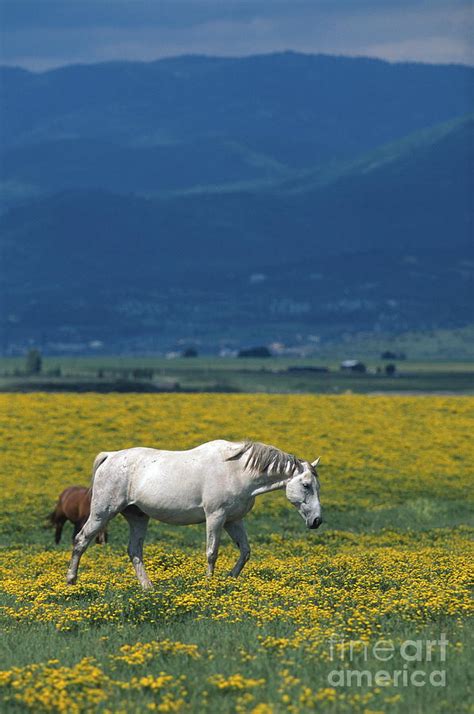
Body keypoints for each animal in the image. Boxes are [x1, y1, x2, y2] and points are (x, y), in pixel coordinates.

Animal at [66, 436, 322, 588]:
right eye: (306, 485)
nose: (317, 521)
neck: (237, 471)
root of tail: (110, 456)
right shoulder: (216, 517)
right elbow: (212, 552)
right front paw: (209, 585)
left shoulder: (233, 520)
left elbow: (245, 551)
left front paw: (230, 578)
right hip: (102, 512)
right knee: (80, 540)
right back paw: (71, 580)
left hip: (138, 517)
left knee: (134, 551)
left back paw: (148, 587)